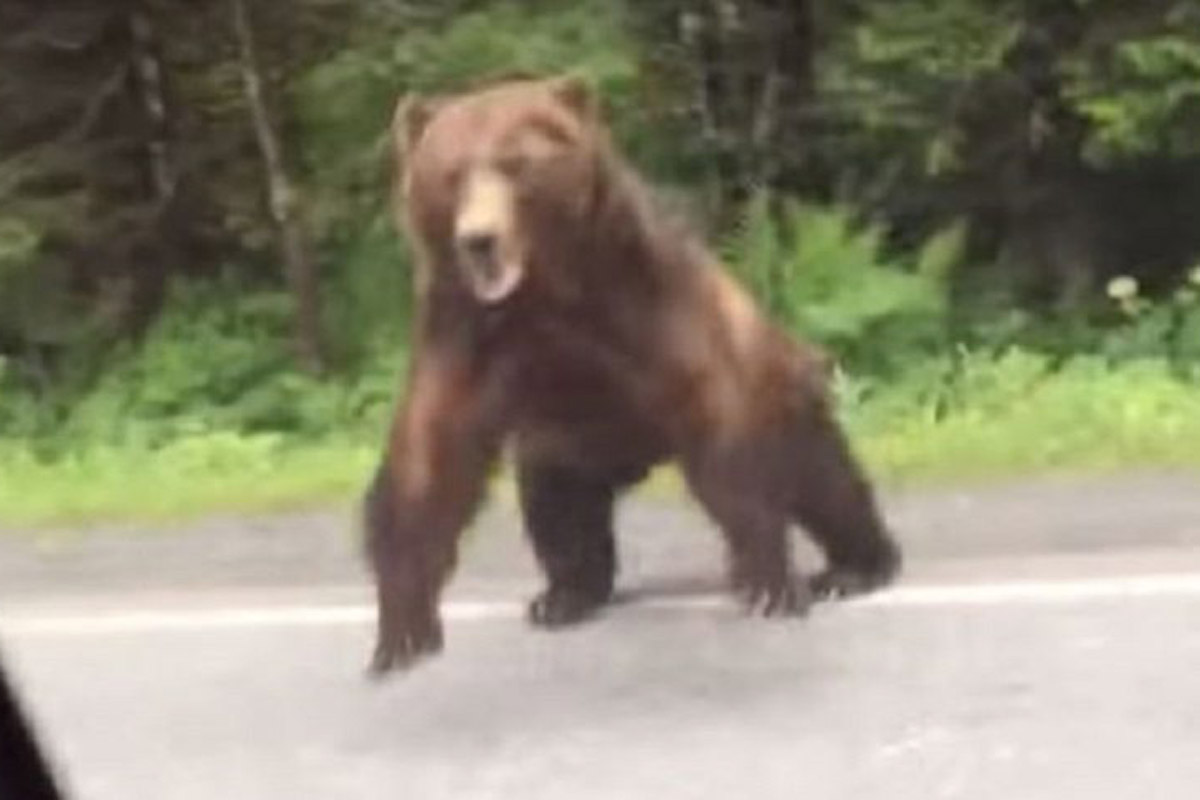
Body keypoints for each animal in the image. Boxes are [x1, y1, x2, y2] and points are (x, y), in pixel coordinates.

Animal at [363, 74, 901, 675]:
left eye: (515, 164)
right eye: (452, 172)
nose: (478, 239)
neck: (545, 295)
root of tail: (637, 462)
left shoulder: (648, 301)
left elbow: (726, 435)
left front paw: (769, 585)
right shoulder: (466, 330)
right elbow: (430, 456)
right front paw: (403, 631)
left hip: (785, 389)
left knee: (825, 478)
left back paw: (854, 566)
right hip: (562, 448)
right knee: (558, 512)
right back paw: (564, 596)